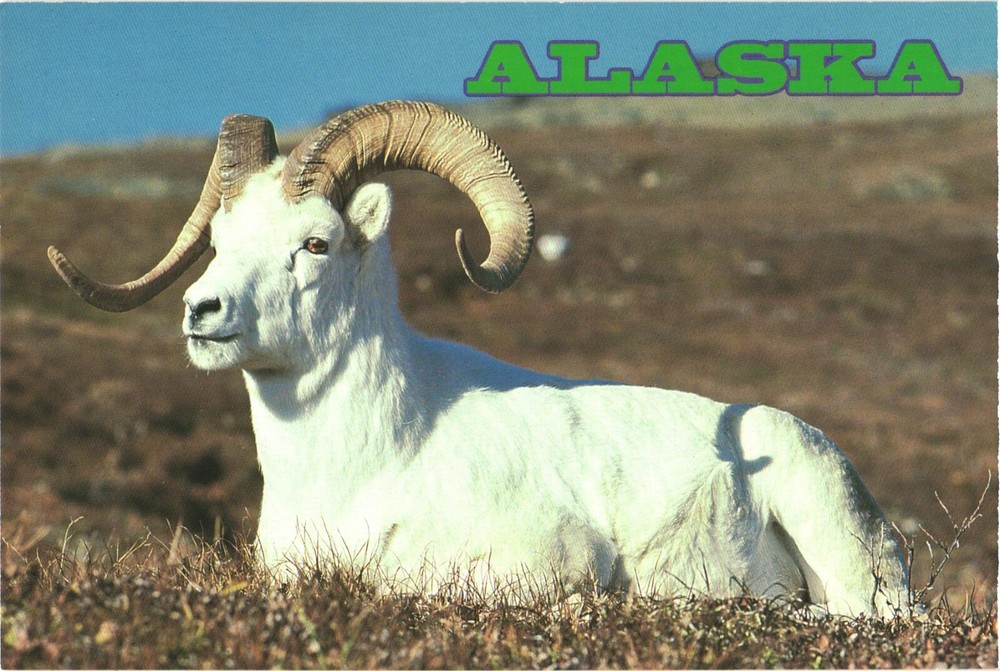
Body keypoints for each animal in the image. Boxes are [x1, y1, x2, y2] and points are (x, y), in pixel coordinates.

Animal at [48, 100, 914, 617]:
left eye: (315, 243)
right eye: (220, 241)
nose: (203, 313)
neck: (373, 459)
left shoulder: (540, 560)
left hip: (844, 553)